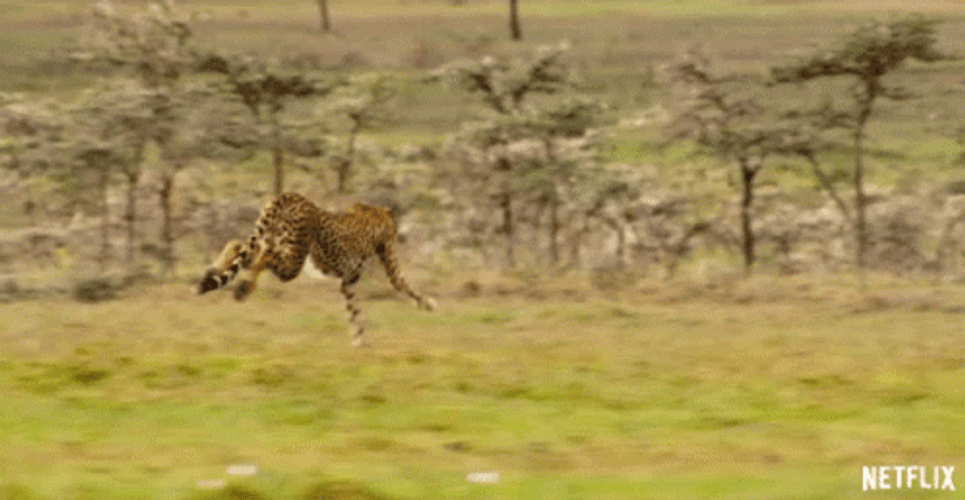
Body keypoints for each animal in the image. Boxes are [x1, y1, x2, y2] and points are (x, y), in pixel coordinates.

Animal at [197, 192, 436, 347]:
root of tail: (295, 197)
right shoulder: (385, 259)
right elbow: (403, 285)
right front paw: (429, 304)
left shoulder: (347, 280)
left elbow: (353, 309)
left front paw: (358, 337)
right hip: (293, 258)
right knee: (263, 256)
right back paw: (243, 287)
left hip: (275, 242)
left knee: (243, 247)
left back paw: (217, 271)